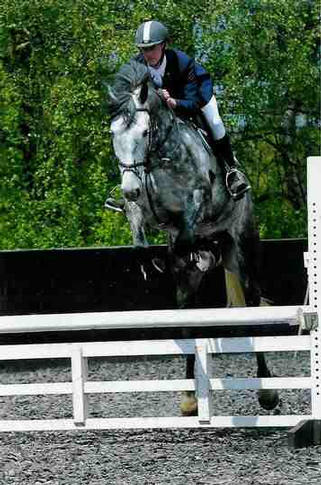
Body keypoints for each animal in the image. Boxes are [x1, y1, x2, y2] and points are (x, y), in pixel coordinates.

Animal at [107, 60, 278, 414]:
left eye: (144, 133)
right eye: (114, 134)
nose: (128, 188)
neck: (157, 159)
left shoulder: (198, 200)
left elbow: (187, 231)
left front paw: (192, 253)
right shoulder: (143, 207)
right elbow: (139, 235)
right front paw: (153, 259)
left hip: (242, 249)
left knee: (253, 304)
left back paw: (267, 392)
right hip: (189, 289)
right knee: (188, 317)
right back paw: (188, 398)